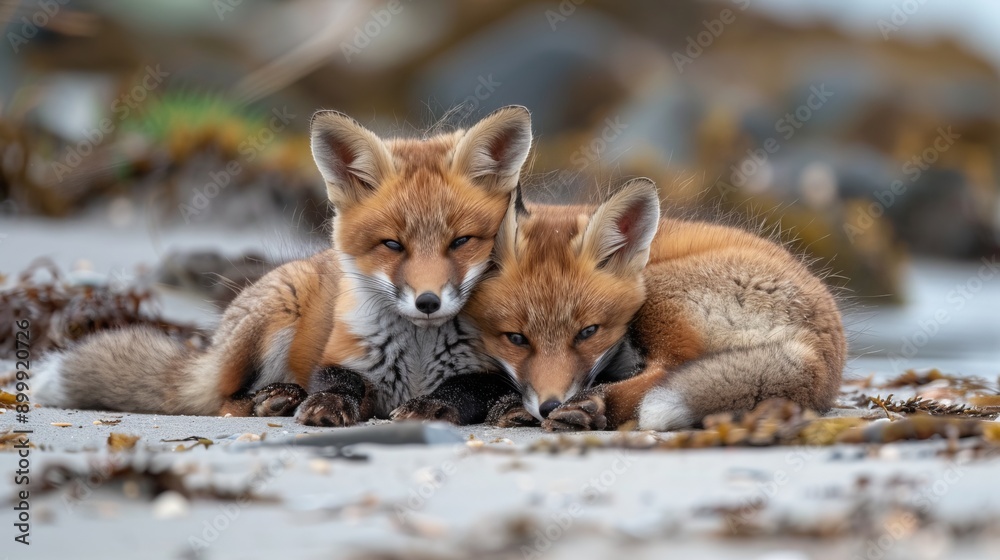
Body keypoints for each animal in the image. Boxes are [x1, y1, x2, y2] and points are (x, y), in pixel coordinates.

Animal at [33, 105, 533, 426]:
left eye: (461, 242)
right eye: (392, 244)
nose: (427, 302)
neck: (417, 354)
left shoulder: (495, 368)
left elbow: (464, 389)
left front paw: (430, 407)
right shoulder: (337, 357)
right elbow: (338, 383)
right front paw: (326, 403)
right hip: (274, 315)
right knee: (220, 400)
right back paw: (276, 398)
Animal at [400, 178, 846, 430]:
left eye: (587, 333)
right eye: (516, 339)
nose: (549, 405)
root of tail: (825, 349)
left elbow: (479, 381)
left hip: (659, 291)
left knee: (669, 369)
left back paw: (590, 406)